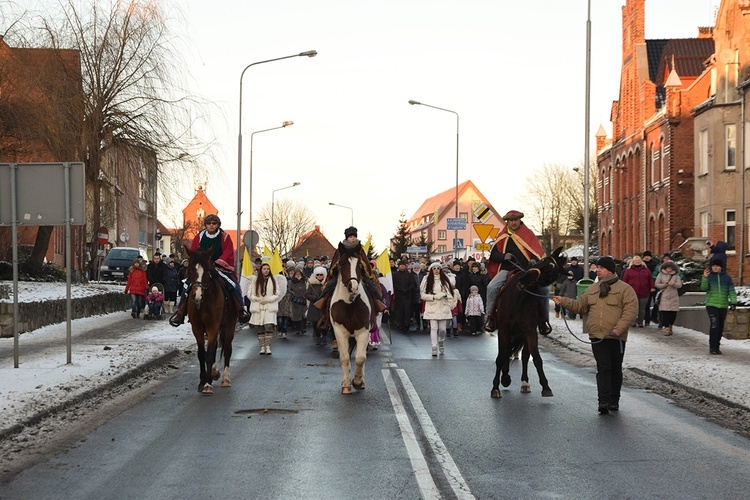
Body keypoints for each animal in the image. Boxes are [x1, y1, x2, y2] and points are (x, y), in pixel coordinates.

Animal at [186, 248, 238, 392]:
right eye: (190, 269)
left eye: (208, 270)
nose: (197, 295)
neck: (203, 303)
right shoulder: (197, 328)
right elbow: (202, 354)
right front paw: (203, 381)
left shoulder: (212, 326)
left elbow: (209, 355)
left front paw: (208, 384)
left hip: (230, 325)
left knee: (227, 349)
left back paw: (225, 378)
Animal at [330, 245, 378, 394]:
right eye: (342, 264)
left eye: (359, 265)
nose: (354, 287)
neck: (349, 303)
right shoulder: (340, 332)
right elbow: (345, 357)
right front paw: (346, 384)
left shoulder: (363, 332)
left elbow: (360, 358)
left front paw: (357, 381)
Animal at [490, 248, 568, 400]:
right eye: (542, 261)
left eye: (552, 272)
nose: (525, 278)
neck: (519, 298)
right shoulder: (503, 330)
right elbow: (501, 357)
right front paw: (495, 387)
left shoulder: (530, 331)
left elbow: (536, 358)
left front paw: (546, 386)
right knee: (507, 352)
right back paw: (505, 377)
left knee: (525, 356)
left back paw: (524, 383)